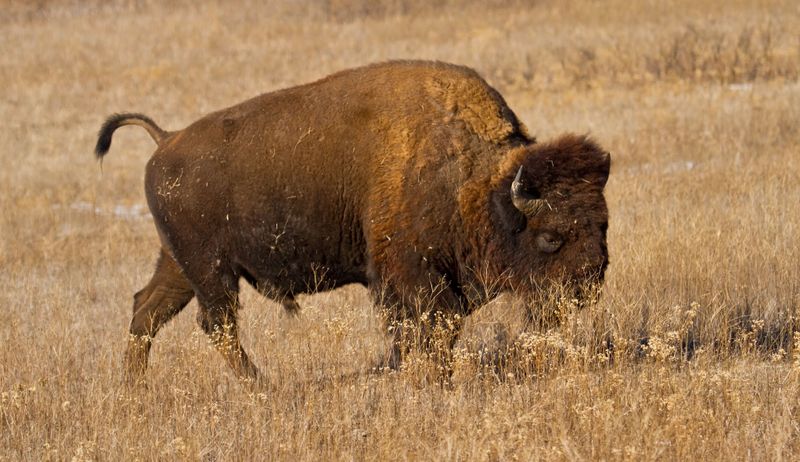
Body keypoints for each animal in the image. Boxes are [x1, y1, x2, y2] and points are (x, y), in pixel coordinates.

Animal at [98, 62, 612, 386]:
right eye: (550, 237)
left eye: (603, 225)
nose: (589, 282)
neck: (476, 184)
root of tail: (165, 141)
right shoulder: (410, 279)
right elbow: (430, 330)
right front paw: (432, 380)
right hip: (210, 271)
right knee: (215, 324)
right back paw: (261, 386)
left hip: (180, 267)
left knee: (147, 311)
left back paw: (136, 389)